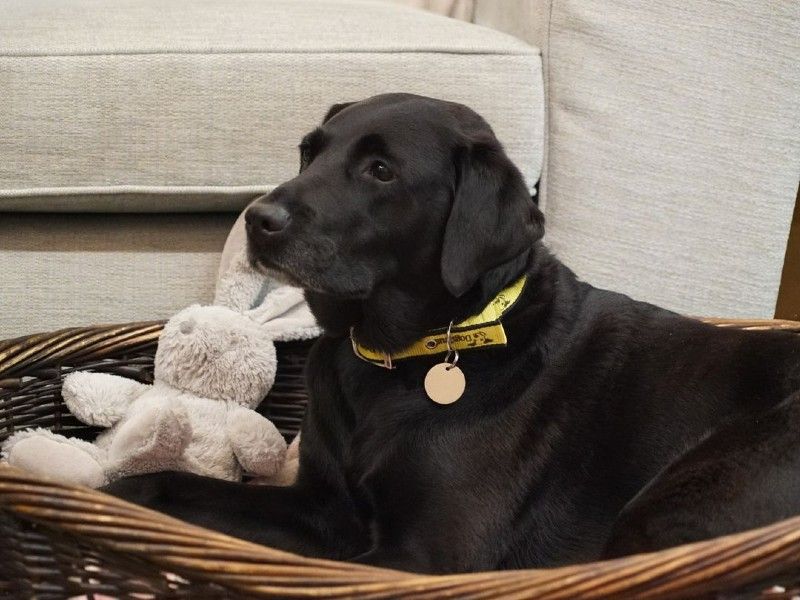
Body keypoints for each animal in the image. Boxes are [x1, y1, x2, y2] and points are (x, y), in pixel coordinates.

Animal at [106, 94, 800, 572]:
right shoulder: (322, 507)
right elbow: (167, 484)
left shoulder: (425, 557)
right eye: (309, 151)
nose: (257, 219)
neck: (393, 359)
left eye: (381, 170)